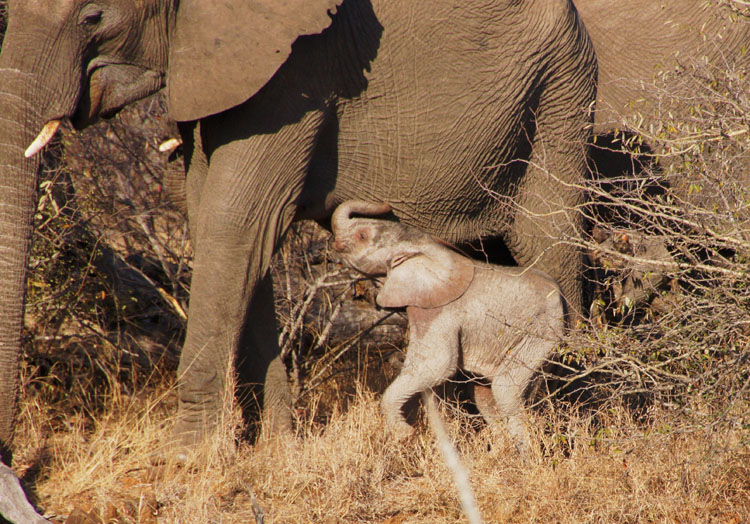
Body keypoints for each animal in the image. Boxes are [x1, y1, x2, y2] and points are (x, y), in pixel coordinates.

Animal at [330, 200, 567, 454]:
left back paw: (524, 456)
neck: (419, 245)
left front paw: (405, 435)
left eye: (362, 236)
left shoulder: (438, 312)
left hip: (541, 332)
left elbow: (438, 365)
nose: (385, 205)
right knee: (484, 394)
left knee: (505, 389)